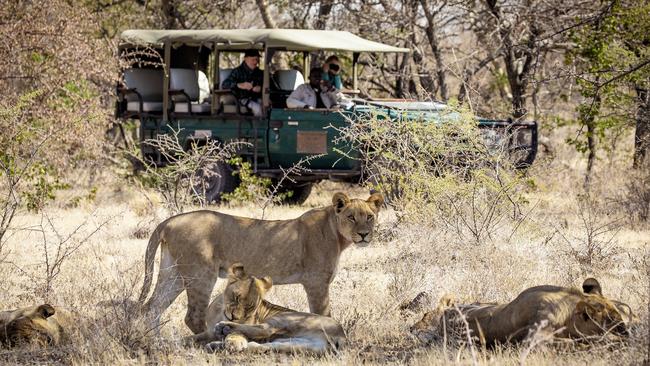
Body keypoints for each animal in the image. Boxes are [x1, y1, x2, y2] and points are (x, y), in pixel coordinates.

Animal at [191, 264, 346, 354]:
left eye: (249, 308)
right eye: (236, 297)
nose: (234, 317)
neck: (220, 313)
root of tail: (342, 335)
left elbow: (239, 334)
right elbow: (195, 337)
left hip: (283, 318)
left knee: (265, 329)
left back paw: (224, 328)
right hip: (298, 344)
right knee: (259, 345)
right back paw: (217, 345)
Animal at [410, 278, 632, 348]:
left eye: (620, 319)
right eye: (615, 322)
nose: (627, 332)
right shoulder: (535, 339)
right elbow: (579, 340)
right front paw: (611, 340)